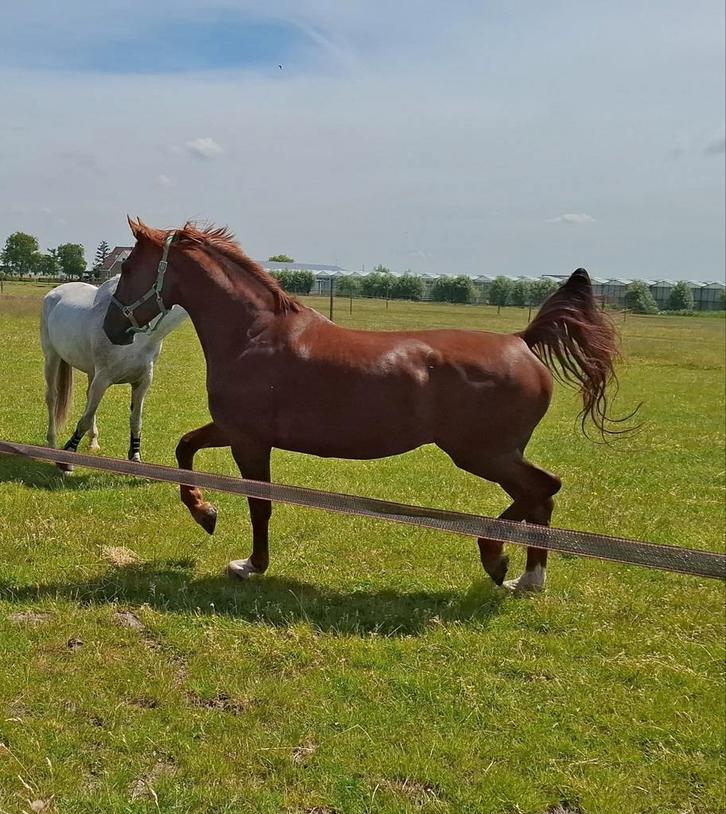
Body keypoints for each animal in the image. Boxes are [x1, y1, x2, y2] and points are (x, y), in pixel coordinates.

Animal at [41, 274, 187, 470]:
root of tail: (54, 292)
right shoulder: (103, 379)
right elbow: (85, 420)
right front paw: (68, 458)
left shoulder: (142, 382)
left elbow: (136, 420)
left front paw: (135, 457)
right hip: (52, 357)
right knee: (52, 397)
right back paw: (52, 443)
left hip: (91, 371)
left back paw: (93, 442)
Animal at [103, 218, 624, 592]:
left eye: (127, 269)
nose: (111, 328)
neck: (253, 334)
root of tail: (521, 341)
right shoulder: (233, 430)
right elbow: (184, 449)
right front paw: (205, 513)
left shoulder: (249, 441)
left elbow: (259, 504)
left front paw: (251, 564)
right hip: (494, 454)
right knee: (539, 495)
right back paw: (525, 577)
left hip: (482, 453)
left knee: (542, 490)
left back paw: (500, 562)